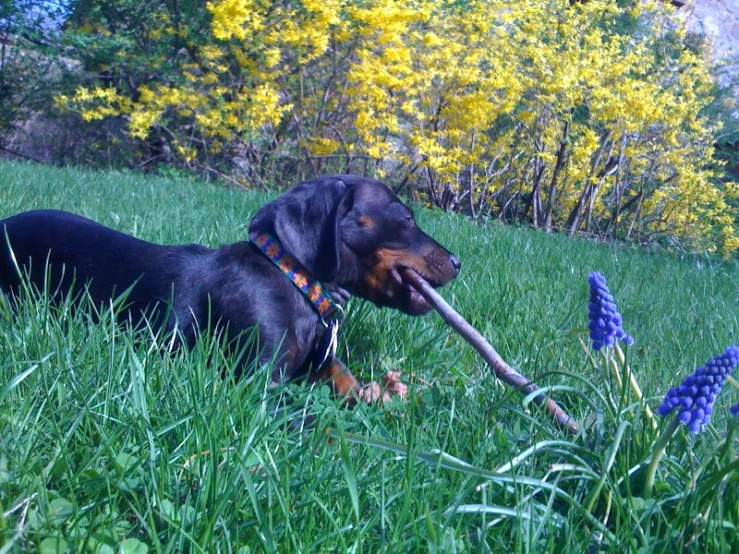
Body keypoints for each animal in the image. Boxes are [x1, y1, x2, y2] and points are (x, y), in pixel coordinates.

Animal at [0, 175, 460, 394]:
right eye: (405, 218)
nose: (457, 261)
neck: (292, 279)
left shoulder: (318, 361)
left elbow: (344, 376)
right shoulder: (259, 380)